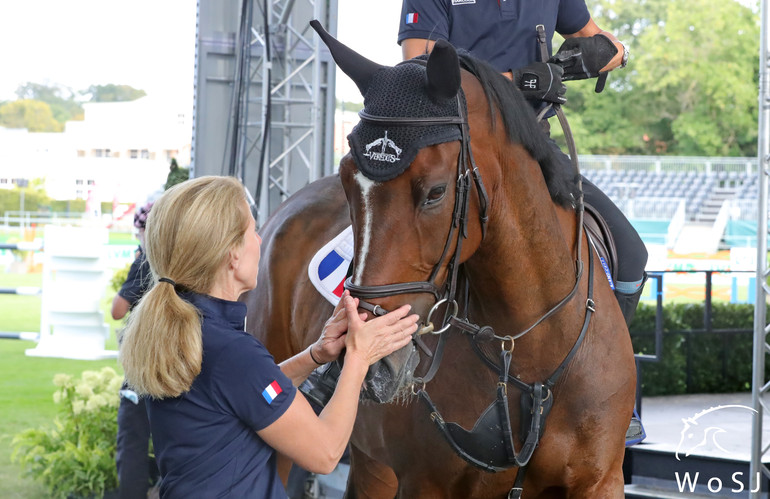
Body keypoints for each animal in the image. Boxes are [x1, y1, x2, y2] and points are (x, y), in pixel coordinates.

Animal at [243, 21, 632, 498]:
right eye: (347, 180)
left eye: (436, 192)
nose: (372, 364)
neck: (526, 342)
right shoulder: (424, 483)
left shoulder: (601, 480)